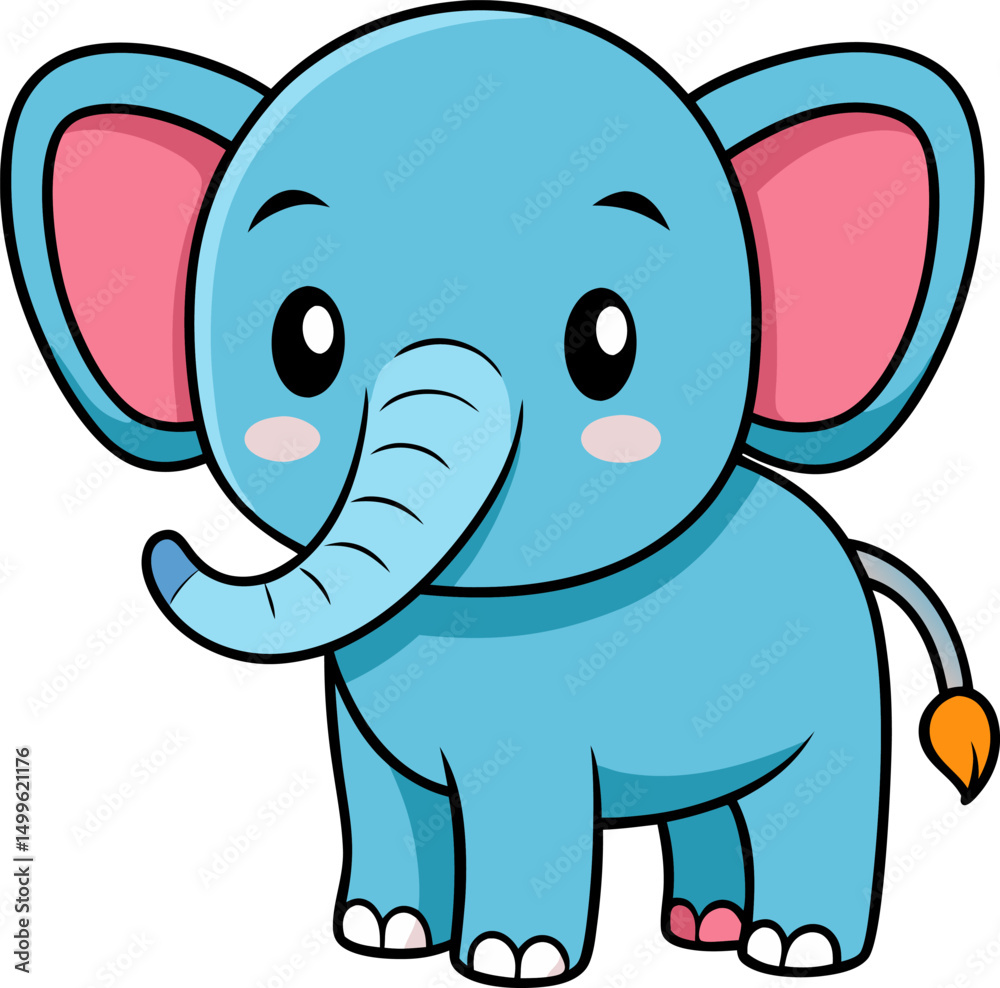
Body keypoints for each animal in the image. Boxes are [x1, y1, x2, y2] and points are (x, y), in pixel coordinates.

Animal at [4, 3, 997, 982]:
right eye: (303, 339)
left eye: (607, 340)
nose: (163, 547)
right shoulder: (355, 712)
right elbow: (383, 795)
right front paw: (383, 935)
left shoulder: (539, 731)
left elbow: (526, 807)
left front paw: (510, 960)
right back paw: (700, 927)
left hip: (843, 684)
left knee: (816, 795)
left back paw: (796, 947)